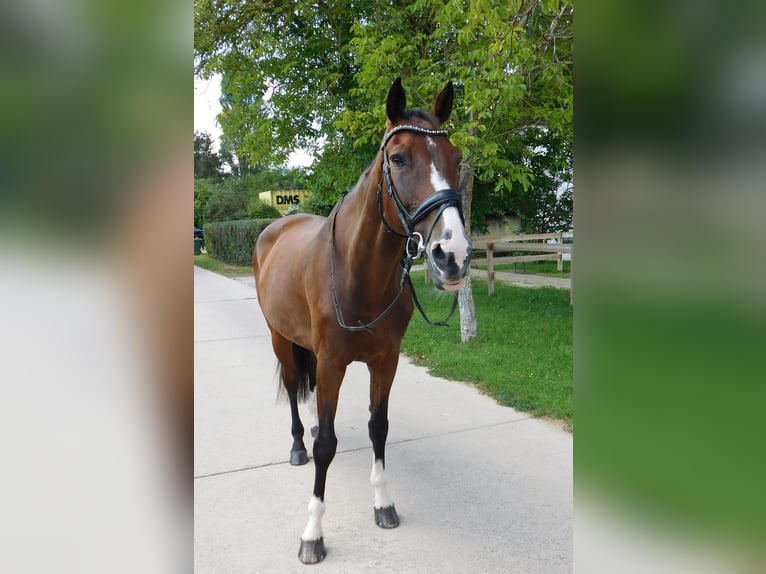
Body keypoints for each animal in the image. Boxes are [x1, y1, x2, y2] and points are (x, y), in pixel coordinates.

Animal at [255, 77, 474, 568]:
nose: (452, 255)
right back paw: (297, 444)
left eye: (456, 159)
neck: (359, 273)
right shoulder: (333, 362)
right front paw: (313, 534)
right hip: (280, 338)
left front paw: (384, 504)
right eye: (398, 158)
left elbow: (379, 428)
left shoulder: (385, 361)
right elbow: (326, 449)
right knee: (295, 392)